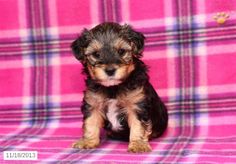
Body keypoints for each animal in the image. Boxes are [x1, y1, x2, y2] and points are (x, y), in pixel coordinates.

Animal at [70, 22, 168, 153]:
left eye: (121, 51)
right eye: (96, 54)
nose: (110, 70)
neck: (113, 87)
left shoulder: (137, 104)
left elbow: (138, 125)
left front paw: (138, 144)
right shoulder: (93, 103)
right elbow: (91, 122)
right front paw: (88, 141)